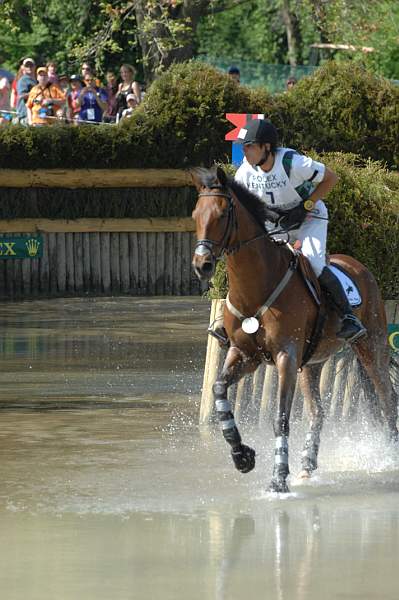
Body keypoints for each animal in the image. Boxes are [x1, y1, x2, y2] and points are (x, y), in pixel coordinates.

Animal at [191, 165, 399, 492]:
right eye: (195, 215)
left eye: (222, 214)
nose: (202, 265)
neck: (255, 287)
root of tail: (357, 265)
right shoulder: (245, 355)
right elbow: (220, 391)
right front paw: (242, 456)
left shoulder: (285, 357)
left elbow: (281, 417)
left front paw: (278, 480)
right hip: (311, 364)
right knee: (317, 412)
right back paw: (307, 466)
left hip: (371, 347)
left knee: (387, 398)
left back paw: (388, 456)